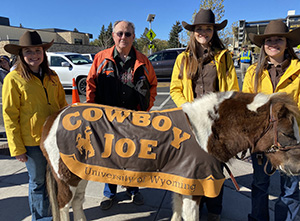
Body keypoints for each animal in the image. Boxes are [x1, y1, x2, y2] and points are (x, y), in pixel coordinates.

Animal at [40, 90, 300, 220]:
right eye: (287, 133)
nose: (297, 169)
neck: (204, 132)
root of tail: (54, 117)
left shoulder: (182, 182)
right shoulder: (194, 188)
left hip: (80, 173)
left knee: (77, 203)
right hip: (67, 177)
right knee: (64, 207)